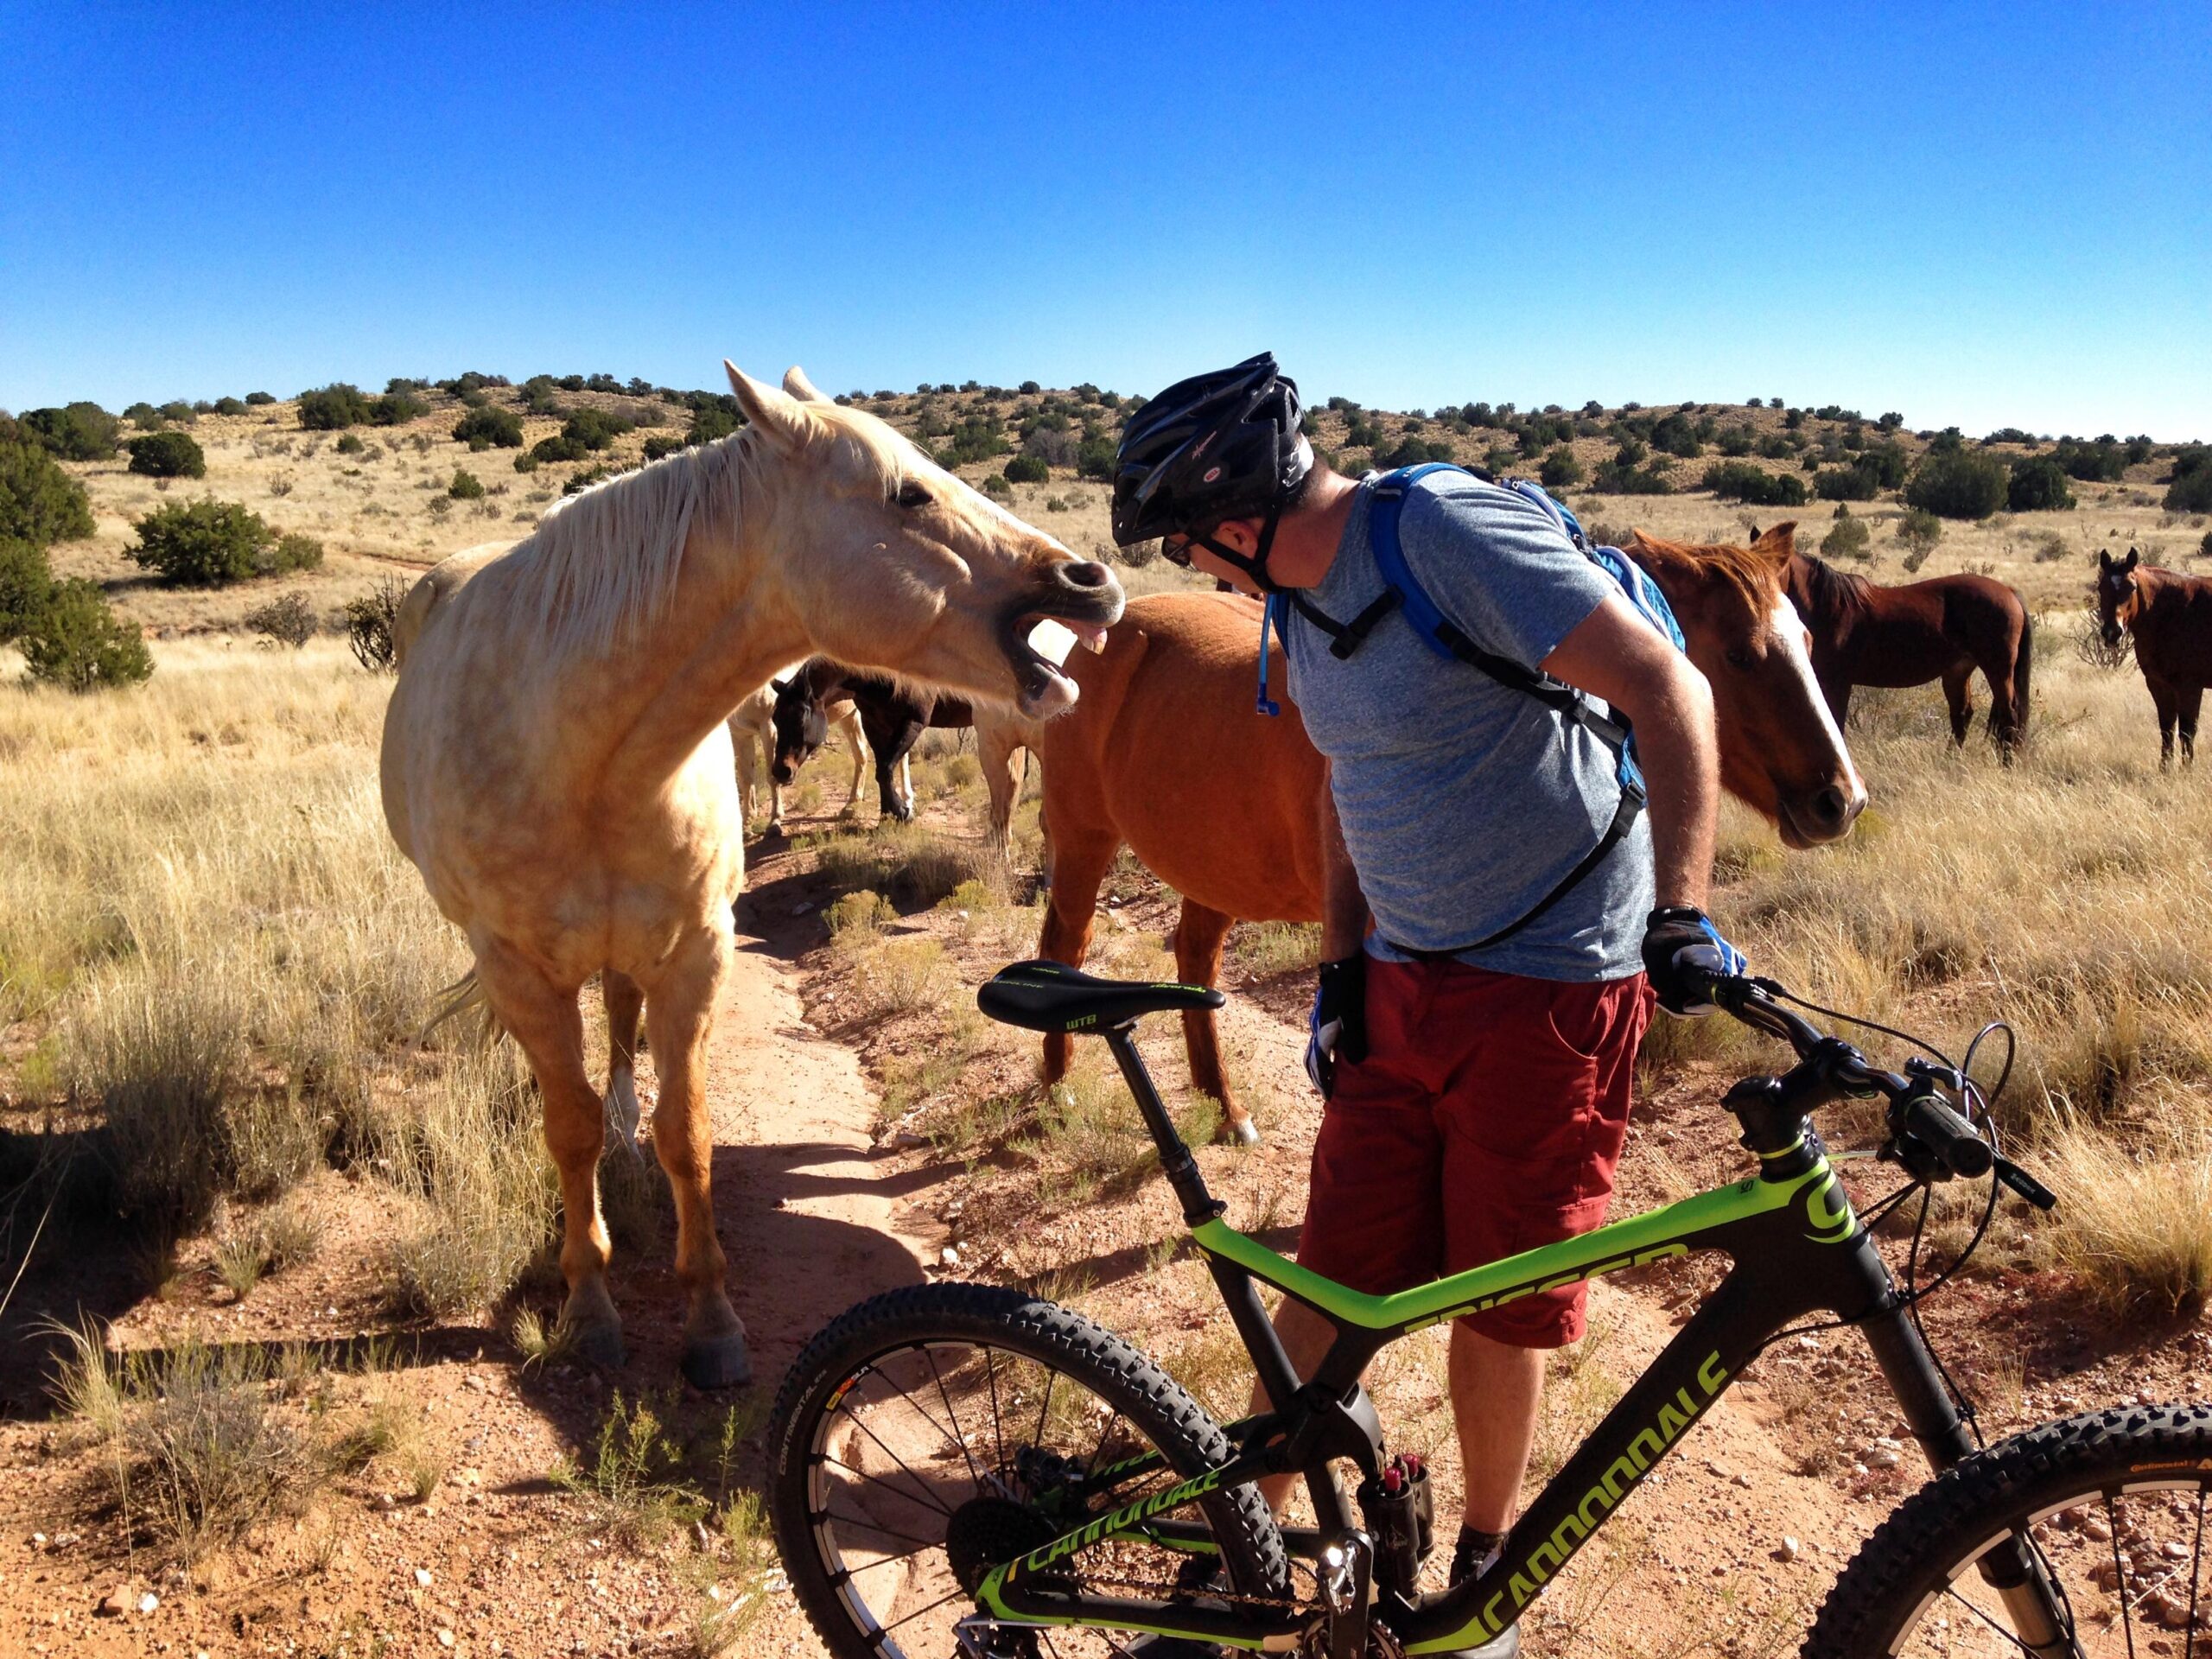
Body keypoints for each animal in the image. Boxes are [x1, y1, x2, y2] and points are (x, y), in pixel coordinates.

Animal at [728, 675, 870, 830]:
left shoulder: (769, 729)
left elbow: (772, 777)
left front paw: (775, 820)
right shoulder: (739, 734)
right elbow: (746, 779)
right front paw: (747, 824)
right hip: (850, 715)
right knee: (861, 755)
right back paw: (852, 805)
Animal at [1031, 523, 1865, 1140]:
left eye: (1807, 643)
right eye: (1740, 654)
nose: (1843, 800)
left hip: (1214, 865)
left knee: (1195, 959)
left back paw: (1223, 1109)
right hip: (1083, 838)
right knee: (1065, 942)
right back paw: (1057, 1085)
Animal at [1784, 548, 2034, 758]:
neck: (1827, 607)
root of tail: (2009, 592)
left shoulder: (1838, 682)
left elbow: (1836, 724)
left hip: (1998, 670)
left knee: (2009, 714)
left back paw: (2007, 763)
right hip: (1958, 671)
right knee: (1963, 714)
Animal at [2097, 547, 2212, 767]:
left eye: (2131, 587)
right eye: (2101, 588)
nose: (2112, 632)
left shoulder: (2190, 687)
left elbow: (2187, 732)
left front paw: (2186, 769)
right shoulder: (2158, 684)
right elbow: (2167, 729)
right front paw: (2165, 769)